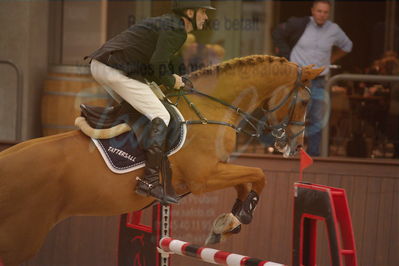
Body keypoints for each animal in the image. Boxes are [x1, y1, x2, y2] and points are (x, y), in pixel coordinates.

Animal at [0, 55, 324, 264]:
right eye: (305, 101)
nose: (295, 146)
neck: (211, 108)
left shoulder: (216, 171)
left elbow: (247, 182)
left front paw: (228, 222)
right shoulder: (204, 177)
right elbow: (259, 173)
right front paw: (240, 215)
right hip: (21, 239)